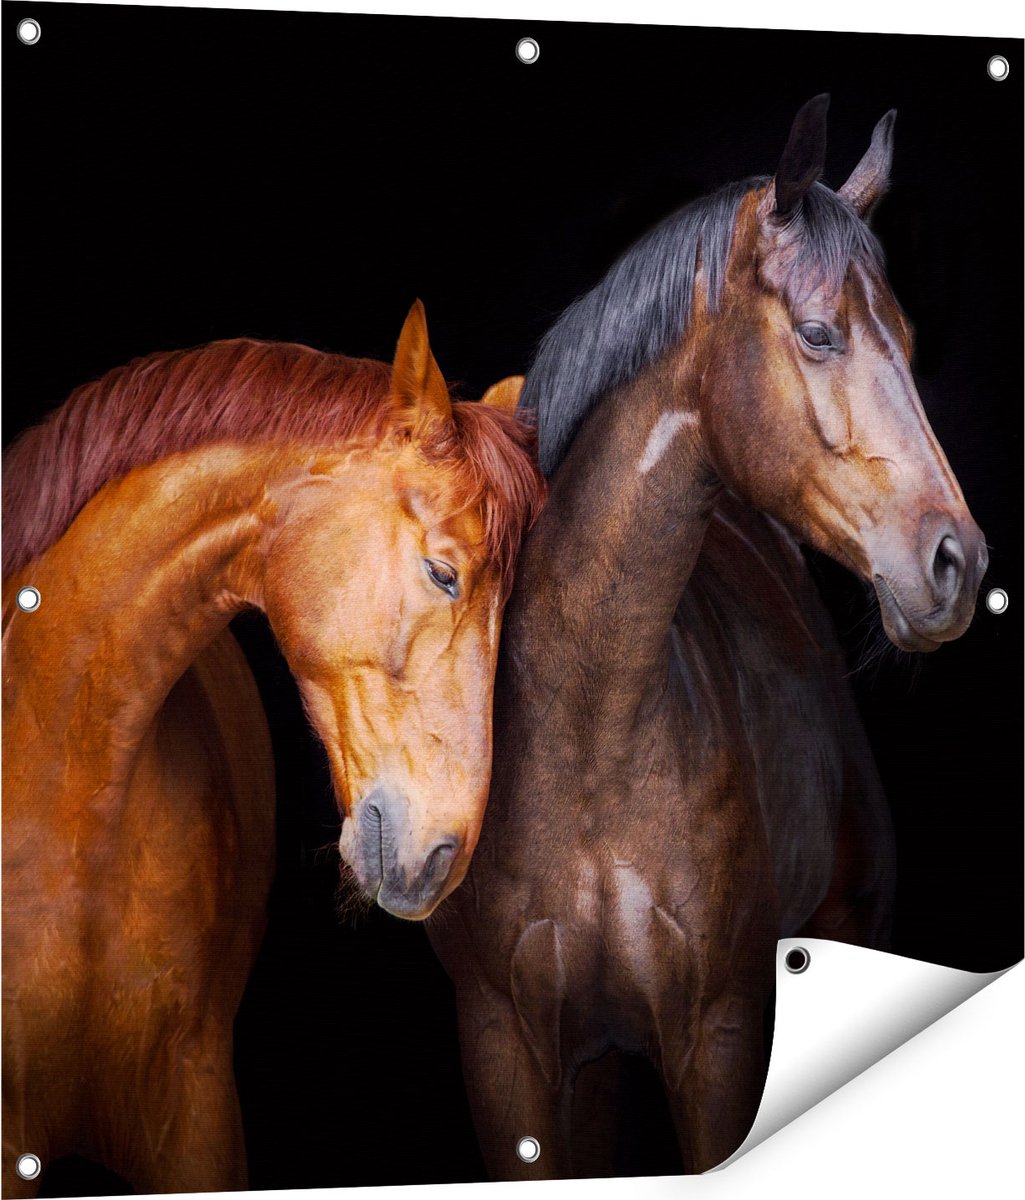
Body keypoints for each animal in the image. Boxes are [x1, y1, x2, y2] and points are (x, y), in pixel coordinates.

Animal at [427, 96, 988, 1178]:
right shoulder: (506, 1052)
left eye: (904, 337)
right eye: (816, 333)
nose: (957, 563)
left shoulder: (719, 1040)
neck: (589, 727)